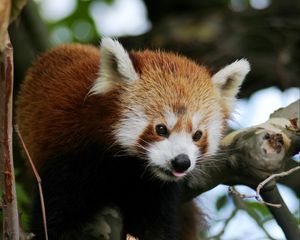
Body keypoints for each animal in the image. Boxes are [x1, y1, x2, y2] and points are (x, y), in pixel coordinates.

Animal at [17, 38, 251, 239]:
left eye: (197, 135)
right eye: (161, 129)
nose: (181, 162)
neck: (127, 166)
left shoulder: (155, 190)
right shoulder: (70, 157)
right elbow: (56, 220)